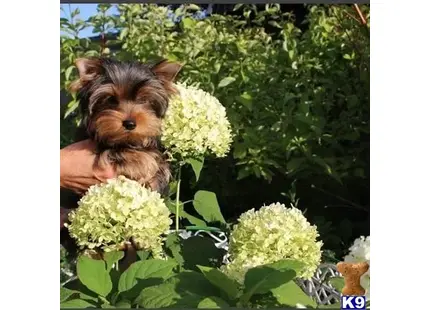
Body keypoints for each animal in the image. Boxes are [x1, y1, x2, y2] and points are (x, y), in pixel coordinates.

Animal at [61, 57, 181, 256]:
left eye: (144, 100)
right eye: (110, 99)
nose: (130, 123)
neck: (127, 140)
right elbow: (115, 151)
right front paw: (143, 161)